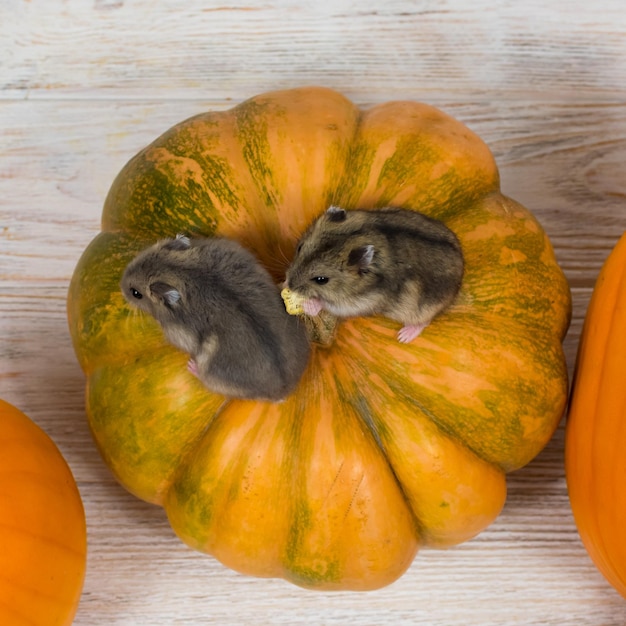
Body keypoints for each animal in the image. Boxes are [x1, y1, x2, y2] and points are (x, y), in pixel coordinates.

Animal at [120, 233, 310, 400]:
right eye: (140, 256)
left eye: (136, 293)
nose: (120, 285)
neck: (176, 270)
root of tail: (285, 390)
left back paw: (192, 367)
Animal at [284, 205, 464, 342]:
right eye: (299, 248)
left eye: (321, 280)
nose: (288, 284)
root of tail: (462, 267)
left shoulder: (362, 302)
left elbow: (329, 305)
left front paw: (310, 304)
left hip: (423, 310)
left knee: (424, 321)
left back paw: (404, 336)